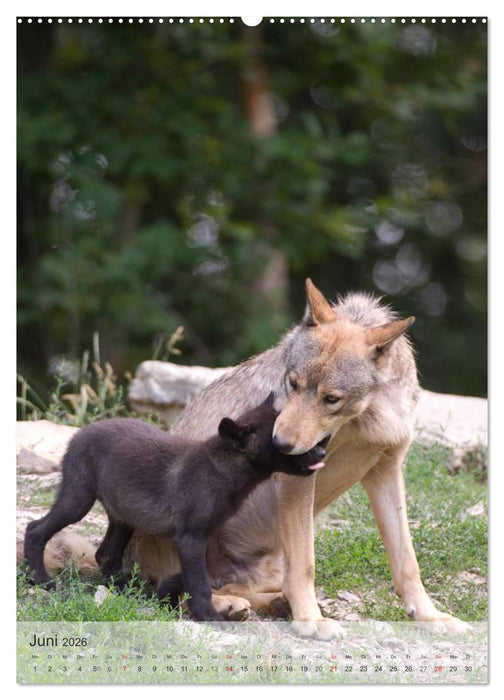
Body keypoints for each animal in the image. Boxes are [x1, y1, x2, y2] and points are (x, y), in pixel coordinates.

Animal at [23, 396, 325, 621]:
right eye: (278, 436)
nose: (322, 452)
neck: (221, 470)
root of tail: (79, 434)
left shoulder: (203, 538)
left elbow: (193, 577)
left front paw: (166, 597)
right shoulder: (191, 537)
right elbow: (200, 583)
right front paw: (208, 616)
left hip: (123, 517)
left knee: (105, 554)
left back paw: (126, 591)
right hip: (77, 500)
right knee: (35, 529)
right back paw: (41, 580)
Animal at [125, 279, 468, 638]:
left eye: (331, 399)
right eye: (293, 383)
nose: (277, 444)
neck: (367, 415)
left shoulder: (386, 470)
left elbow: (407, 562)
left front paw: (430, 617)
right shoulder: (298, 480)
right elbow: (306, 563)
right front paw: (311, 620)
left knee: (233, 587)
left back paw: (271, 603)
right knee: (175, 592)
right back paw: (231, 607)